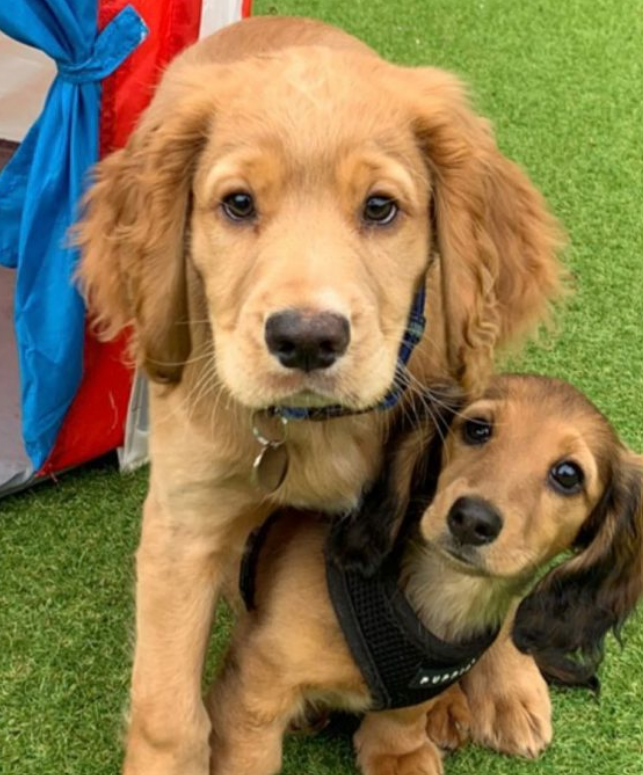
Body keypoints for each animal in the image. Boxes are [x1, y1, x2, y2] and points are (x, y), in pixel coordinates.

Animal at [78, 13, 568, 775]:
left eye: (380, 208)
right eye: (237, 204)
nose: (306, 340)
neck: (315, 426)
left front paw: (504, 679)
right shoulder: (183, 529)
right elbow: (167, 712)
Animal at [210, 372, 643, 772]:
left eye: (568, 475)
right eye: (477, 428)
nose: (471, 519)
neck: (440, 594)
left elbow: (403, 716)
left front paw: (398, 754)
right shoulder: (256, 686)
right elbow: (251, 759)